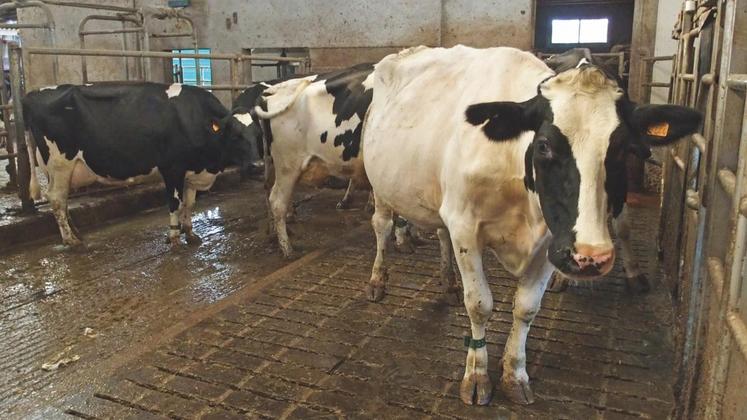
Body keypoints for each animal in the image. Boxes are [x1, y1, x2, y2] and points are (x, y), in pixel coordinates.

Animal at [23, 82, 258, 247]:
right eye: (235, 135)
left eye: (257, 134)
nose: (257, 165)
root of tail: (32, 94)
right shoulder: (172, 168)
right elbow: (175, 203)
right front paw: (174, 236)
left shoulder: (192, 170)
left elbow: (189, 203)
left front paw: (190, 233)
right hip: (60, 164)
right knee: (56, 199)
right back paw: (70, 240)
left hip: (59, 169)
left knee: (62, 200)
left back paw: (76, 233)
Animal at [362, 45, 701, 406]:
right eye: (544, 146)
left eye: (621, 148)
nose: (591, 255)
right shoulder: (465, 227)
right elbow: (479, 304)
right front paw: (477, 375)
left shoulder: (552, 240)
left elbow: (526, 308)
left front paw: (515, 373)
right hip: (381, 186)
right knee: (382, 227)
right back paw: (378, 280)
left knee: (440, 233)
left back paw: (449, 283)